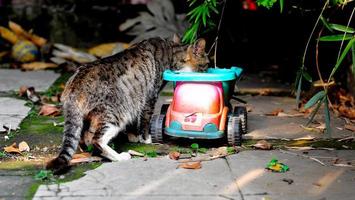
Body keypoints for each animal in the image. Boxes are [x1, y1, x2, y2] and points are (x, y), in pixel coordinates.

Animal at [46, 35, 210, 173]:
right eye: (206, 64)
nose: (209, 69)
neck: (171, 52)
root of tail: (74, 85)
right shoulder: (149, 97)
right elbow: (145, 120)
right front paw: (146, 139)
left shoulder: (136, 99)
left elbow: (135, 120)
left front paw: (133, 136)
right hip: (116, 114)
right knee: (97, 140)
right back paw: (119, 157)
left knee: (84, 137)